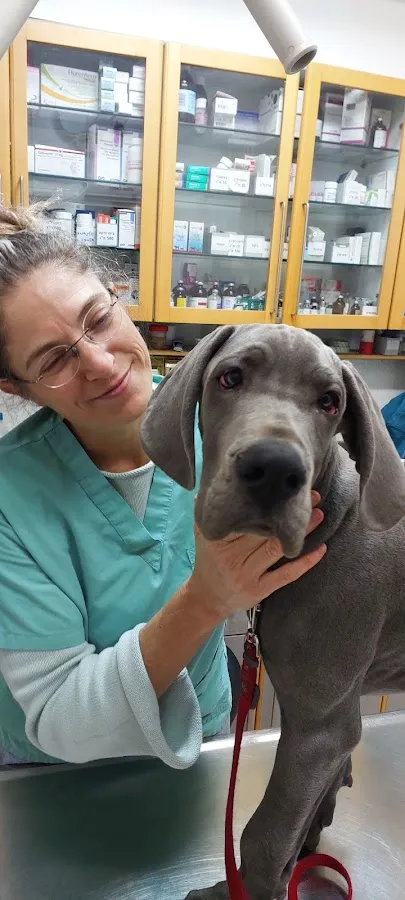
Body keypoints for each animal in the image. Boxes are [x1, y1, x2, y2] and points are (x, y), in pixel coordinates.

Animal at [141, 324, 405, 900]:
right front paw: (305, 846)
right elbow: (309, 805)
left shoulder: (319, 728)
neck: (328, 531)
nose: (275, 469)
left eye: (330, 402)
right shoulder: (333, 723)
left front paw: (238, 889)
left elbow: (265, 830)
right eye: (230, 377)